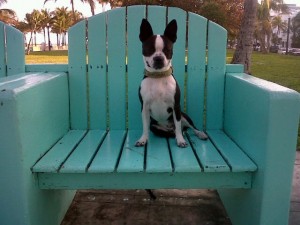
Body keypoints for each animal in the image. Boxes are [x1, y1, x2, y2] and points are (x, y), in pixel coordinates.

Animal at [135, 19, 207, 148]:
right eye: (149, 49)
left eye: (167, 50)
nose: (158, 58)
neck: (158, 76)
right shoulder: (144, 107)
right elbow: (145, 127)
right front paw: (143, 139)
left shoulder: (176, 106)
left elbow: (178, 126)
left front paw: (180, 140)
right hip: (155, 126)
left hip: (184, 115)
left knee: (189, 127)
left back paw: (199, 134)